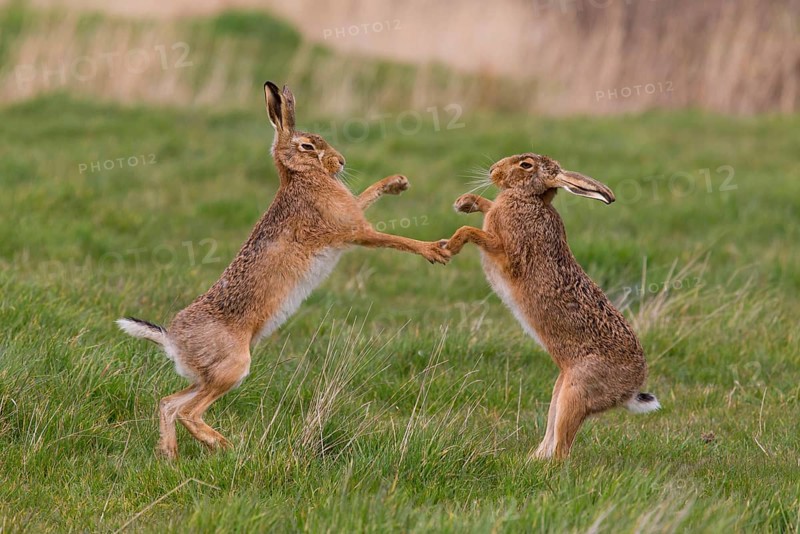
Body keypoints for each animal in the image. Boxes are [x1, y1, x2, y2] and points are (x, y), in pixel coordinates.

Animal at [117, 81, 451, 460]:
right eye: (307, 146)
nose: (341, 161)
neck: (300, 177)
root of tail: (173, 341)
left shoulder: (351, 215)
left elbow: (365, 195)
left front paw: (397, 182)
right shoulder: (355, 230)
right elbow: (393, 238)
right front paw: (435, 251)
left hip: (204, 377)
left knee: (168, 403)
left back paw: (170, 456)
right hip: (232, 368)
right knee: (189, 411)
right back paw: (224, 444)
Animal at [443, 153, 659, 460]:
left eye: (525, 165)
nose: (493, 170)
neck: (530, 199)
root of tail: (630, 389)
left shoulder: (509, 254)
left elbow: (473, 231)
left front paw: (449, 245)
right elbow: (487, 209)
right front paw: (465, 202)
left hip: (576, 392)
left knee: (563, 449)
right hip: (560, 390)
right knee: (552, 431)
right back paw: (530, 460)